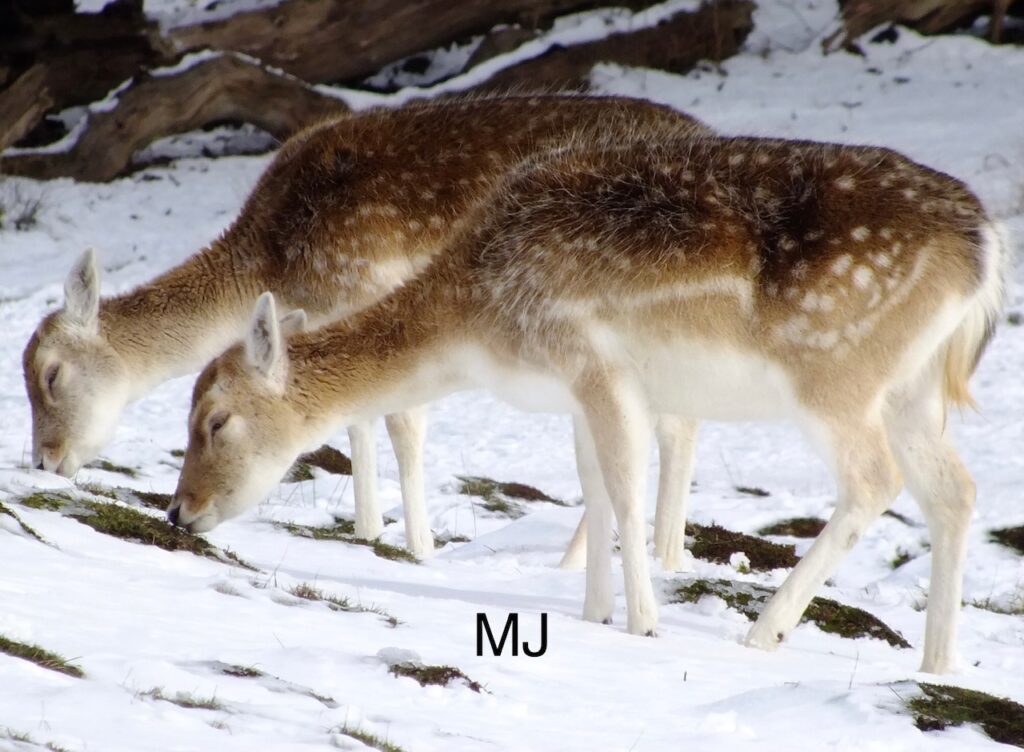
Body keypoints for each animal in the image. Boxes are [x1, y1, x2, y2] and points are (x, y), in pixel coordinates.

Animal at [22, 94, 710, 560]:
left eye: (51, 375)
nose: (42, 459)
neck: (280, 260)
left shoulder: (380, 296)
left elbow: (401, 423)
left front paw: (419, 545)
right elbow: (354, 422)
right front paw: (367, 528)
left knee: (675, 423)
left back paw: (655, 556)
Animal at [169, 130, 1006, 674]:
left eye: (216, 420)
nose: (180, 510)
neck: (478, 322)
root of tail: (987, 250)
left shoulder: (598, 364)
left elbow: (627, 489)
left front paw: (643, 624)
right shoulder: (574, 391)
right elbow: (594, 485)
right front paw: (591, 613)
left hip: (836, 374)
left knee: (875, 481)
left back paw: (764, 633)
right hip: (914, 388)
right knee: (956, 491)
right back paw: (937, 664)